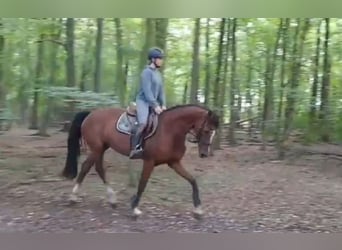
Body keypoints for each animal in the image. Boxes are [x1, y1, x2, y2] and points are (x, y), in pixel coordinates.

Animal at [61, 103, 219, 219]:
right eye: (207, 130)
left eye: (213, 132)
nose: (204, 154)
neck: (170, 130)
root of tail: (90, 114)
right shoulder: (149, 162)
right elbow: (142, 183)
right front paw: (135, 208)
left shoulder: (174, 163)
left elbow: (192, 180)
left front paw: (198, 209)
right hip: (96, 149)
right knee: (85, 167)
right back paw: (73, 197)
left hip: (101, 148)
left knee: (99, 168)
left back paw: (112, 200)